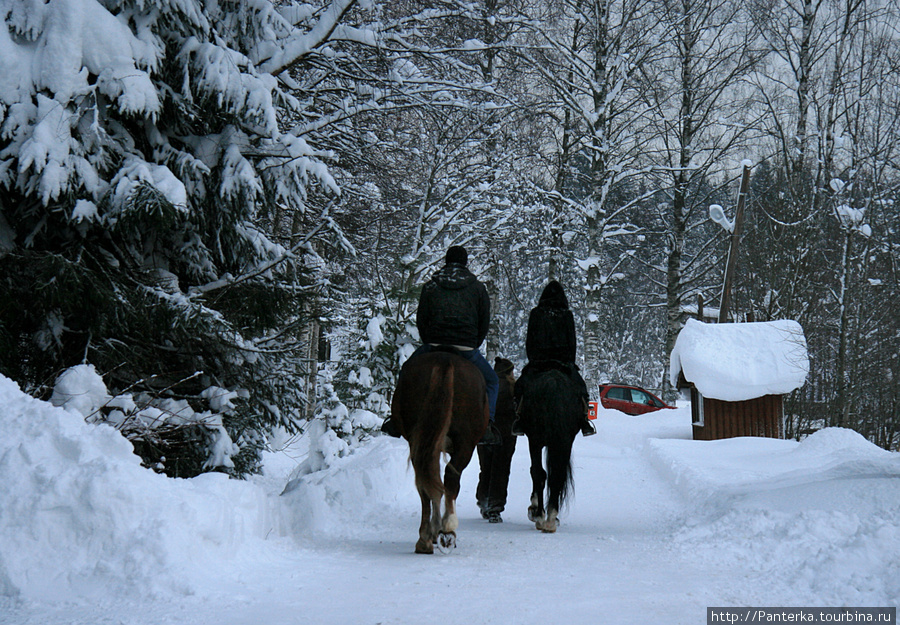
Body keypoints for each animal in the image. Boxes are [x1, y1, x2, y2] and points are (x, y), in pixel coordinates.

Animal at [392, 348, 488, 552]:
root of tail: (445, 359)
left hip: (420, 441)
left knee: (424, 483)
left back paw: (425, 539)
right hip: (465, 444)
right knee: (450, 479)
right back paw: (447, 528)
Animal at [516, 366, 580, 532]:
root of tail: (553, 384)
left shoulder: (534, 441)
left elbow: (537, 472)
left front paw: (535, 510)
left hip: (537, 440)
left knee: (540, 473)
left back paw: (541, 516)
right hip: (563, 442)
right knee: (557, 475)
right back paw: (550, 518)